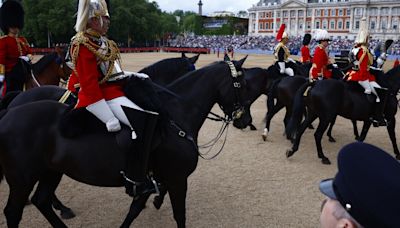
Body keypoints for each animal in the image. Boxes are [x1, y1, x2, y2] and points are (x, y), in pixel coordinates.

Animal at [0, 58, 250, 226]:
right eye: (243, 84)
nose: (246, 120)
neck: (176, 115)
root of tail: (9, 112)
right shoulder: (177, 178)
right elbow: (179, 214)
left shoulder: (152, 177)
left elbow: (135, 208)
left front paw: (154, 203)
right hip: (23, 179)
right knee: (13, 212)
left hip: (51, 171)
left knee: (42, 200)